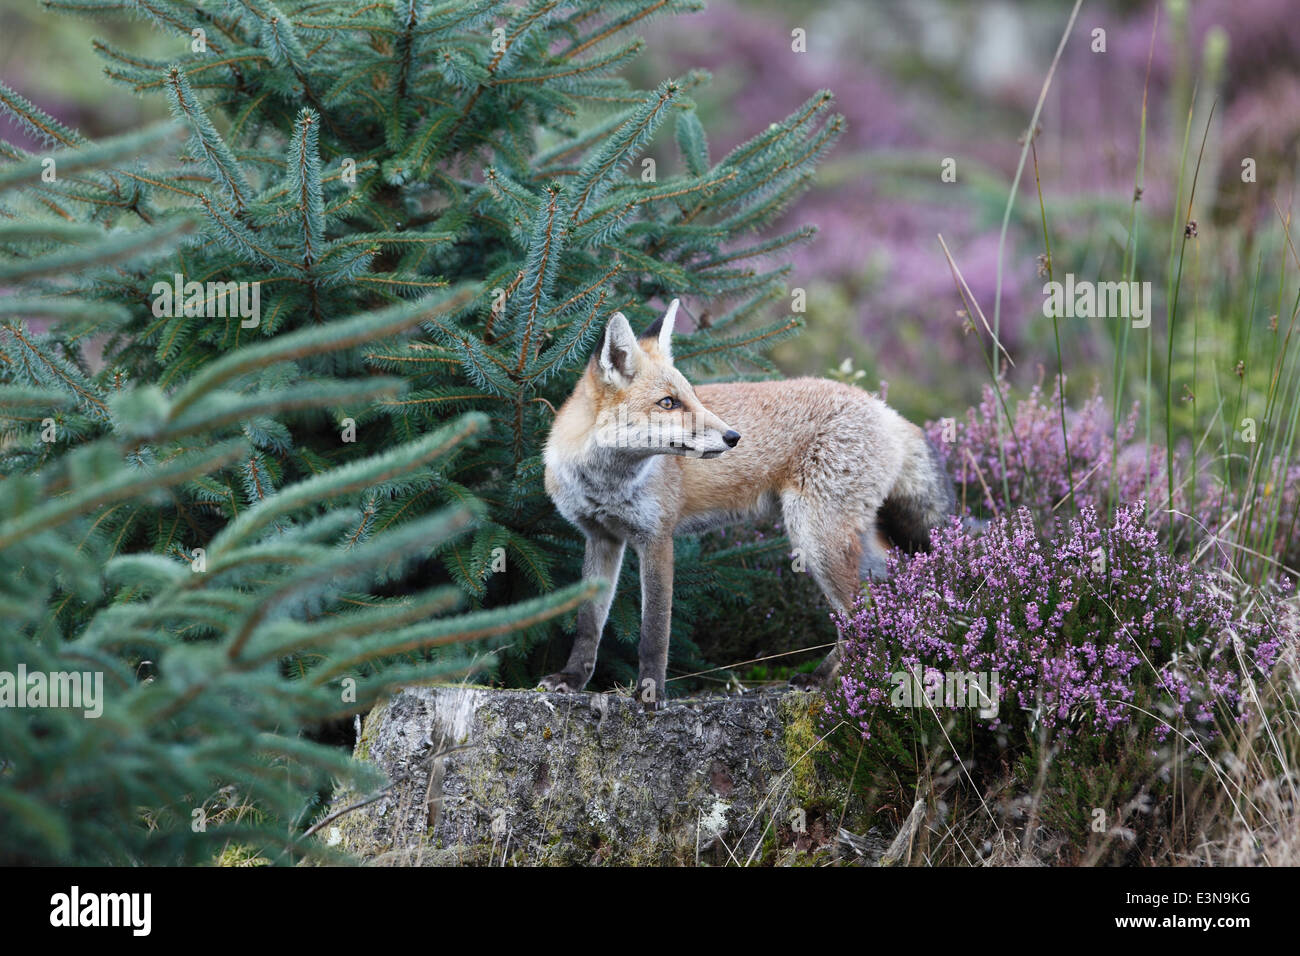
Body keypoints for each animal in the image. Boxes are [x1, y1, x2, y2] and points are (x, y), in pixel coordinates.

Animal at [538, 303, 956, 707]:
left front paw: (650, 694)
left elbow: (653, 634)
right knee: (891, 595)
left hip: (815, 539)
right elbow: (588, 623)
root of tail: (884, 408)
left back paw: (837, 680)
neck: (607, 484)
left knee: (861, 617)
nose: (733, 436)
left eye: (693, 396)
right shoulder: (600, 537)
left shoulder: (656, 538)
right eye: (668, 403)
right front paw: (572, 679)